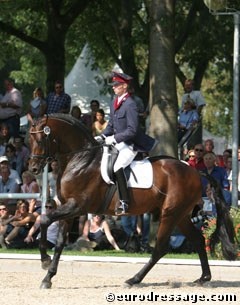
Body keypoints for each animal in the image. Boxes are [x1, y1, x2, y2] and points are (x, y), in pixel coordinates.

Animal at [27, 113, 235, 288]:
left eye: (41, 139)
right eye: (30, 139)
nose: (34, 168)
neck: (81, 159)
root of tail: (194, 171)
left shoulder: (77, 206)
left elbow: (44, 219)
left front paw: (44, 261)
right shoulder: (68, 209)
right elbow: (59, 241)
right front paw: (48, 277)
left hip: (170, 214)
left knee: (160, 248)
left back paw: (133, 280)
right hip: (181, 215)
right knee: (198, 240)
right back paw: (203, 278)